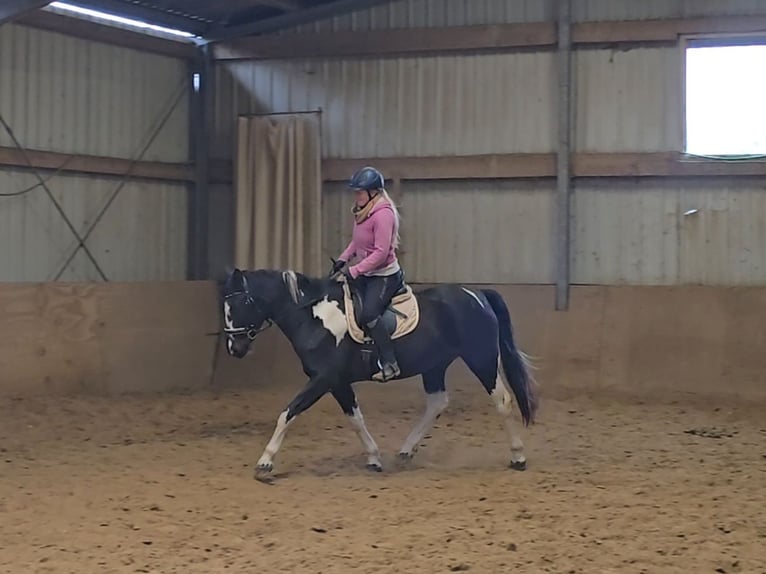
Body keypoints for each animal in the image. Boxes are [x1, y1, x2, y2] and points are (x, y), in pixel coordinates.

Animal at [220, 266, 539, 479]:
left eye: (239, 303)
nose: (235, 348)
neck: (314, 317)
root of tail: (477, 294)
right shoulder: (337, 383)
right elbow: (355, 419)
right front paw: (374, 458)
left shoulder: (323, 379)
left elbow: (288, 413)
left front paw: (265, 463)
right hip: (434, 365)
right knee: (437, 403)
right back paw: (405, 452)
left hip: (481, 357)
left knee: (502, 401)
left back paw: (518, 456)